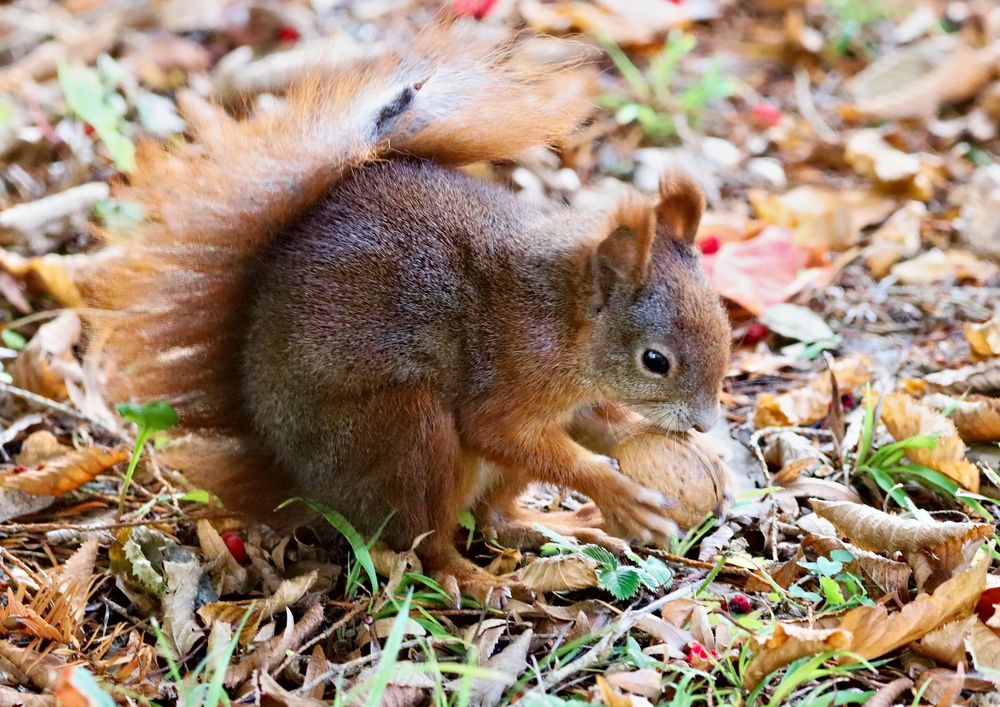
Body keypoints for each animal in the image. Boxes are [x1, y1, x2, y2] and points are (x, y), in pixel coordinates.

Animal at [84, 22, 731, 607]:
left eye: (725, 328)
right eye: (655, 361)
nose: (703, 424)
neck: (560, 319)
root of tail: (301, 480)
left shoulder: (570, 400)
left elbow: (592, 423)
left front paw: (649, 443)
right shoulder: (508, 376)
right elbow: (499, 431)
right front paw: (617, 490)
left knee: (492, 518)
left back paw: (552, 526)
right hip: (406, 433)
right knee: (426, 539)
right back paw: (472, 578)